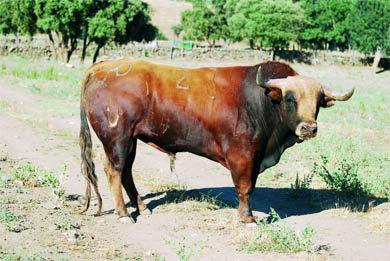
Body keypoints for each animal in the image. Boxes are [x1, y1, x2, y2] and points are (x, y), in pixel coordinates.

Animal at [79, 60, 354, 222]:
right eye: (290, 99)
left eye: (319, 101)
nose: (309, 128)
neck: (260, 101)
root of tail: (105, 65)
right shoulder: (242, 156)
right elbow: (245, 188)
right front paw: (248, 218)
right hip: (117, 138)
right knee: (114, 171)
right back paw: (123, 214)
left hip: (131, 140)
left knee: (126, 172)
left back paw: (141, 207)